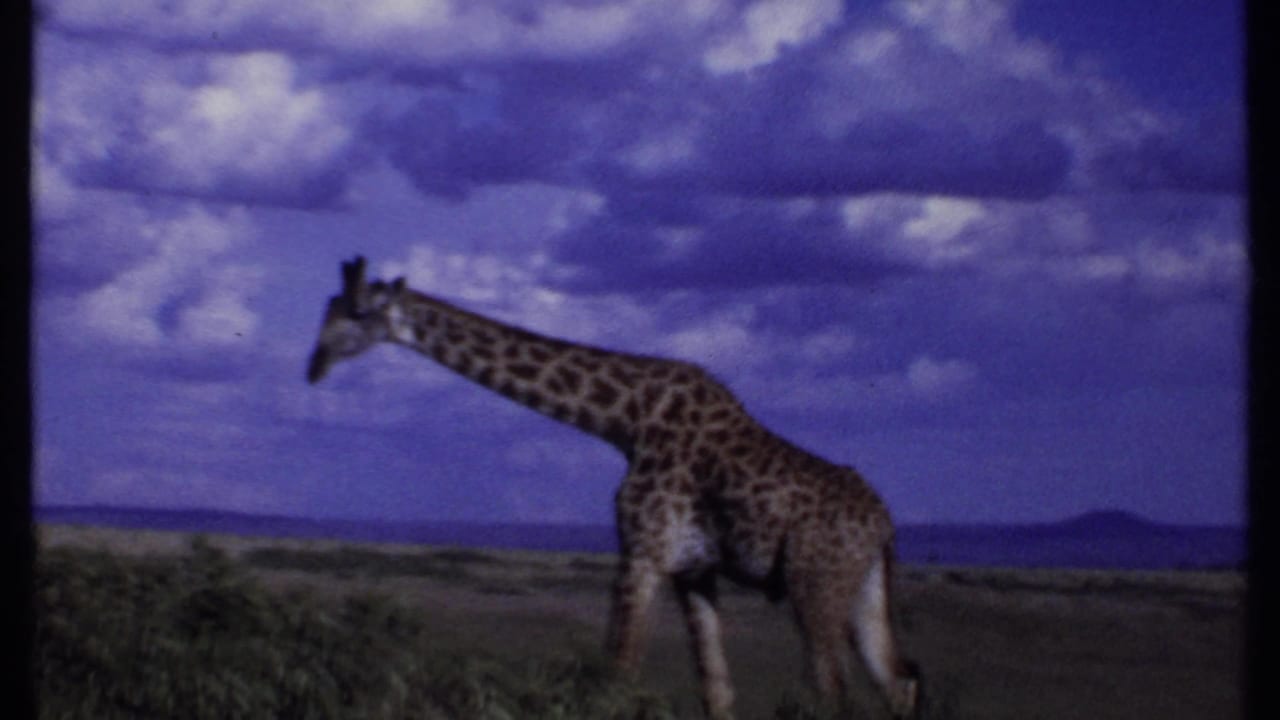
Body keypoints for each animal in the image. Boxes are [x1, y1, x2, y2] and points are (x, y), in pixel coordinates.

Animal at [306, 256, 920, 719]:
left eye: (357, 312)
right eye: (327, 309)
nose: (314, 366)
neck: (626, 420)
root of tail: (884, 524)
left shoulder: (641, 552)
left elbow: (617, 675)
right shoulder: (692, 570)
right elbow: (716, 692)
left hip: (814, 584)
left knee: (833, 689)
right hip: (864, 585)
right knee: (897, 681)